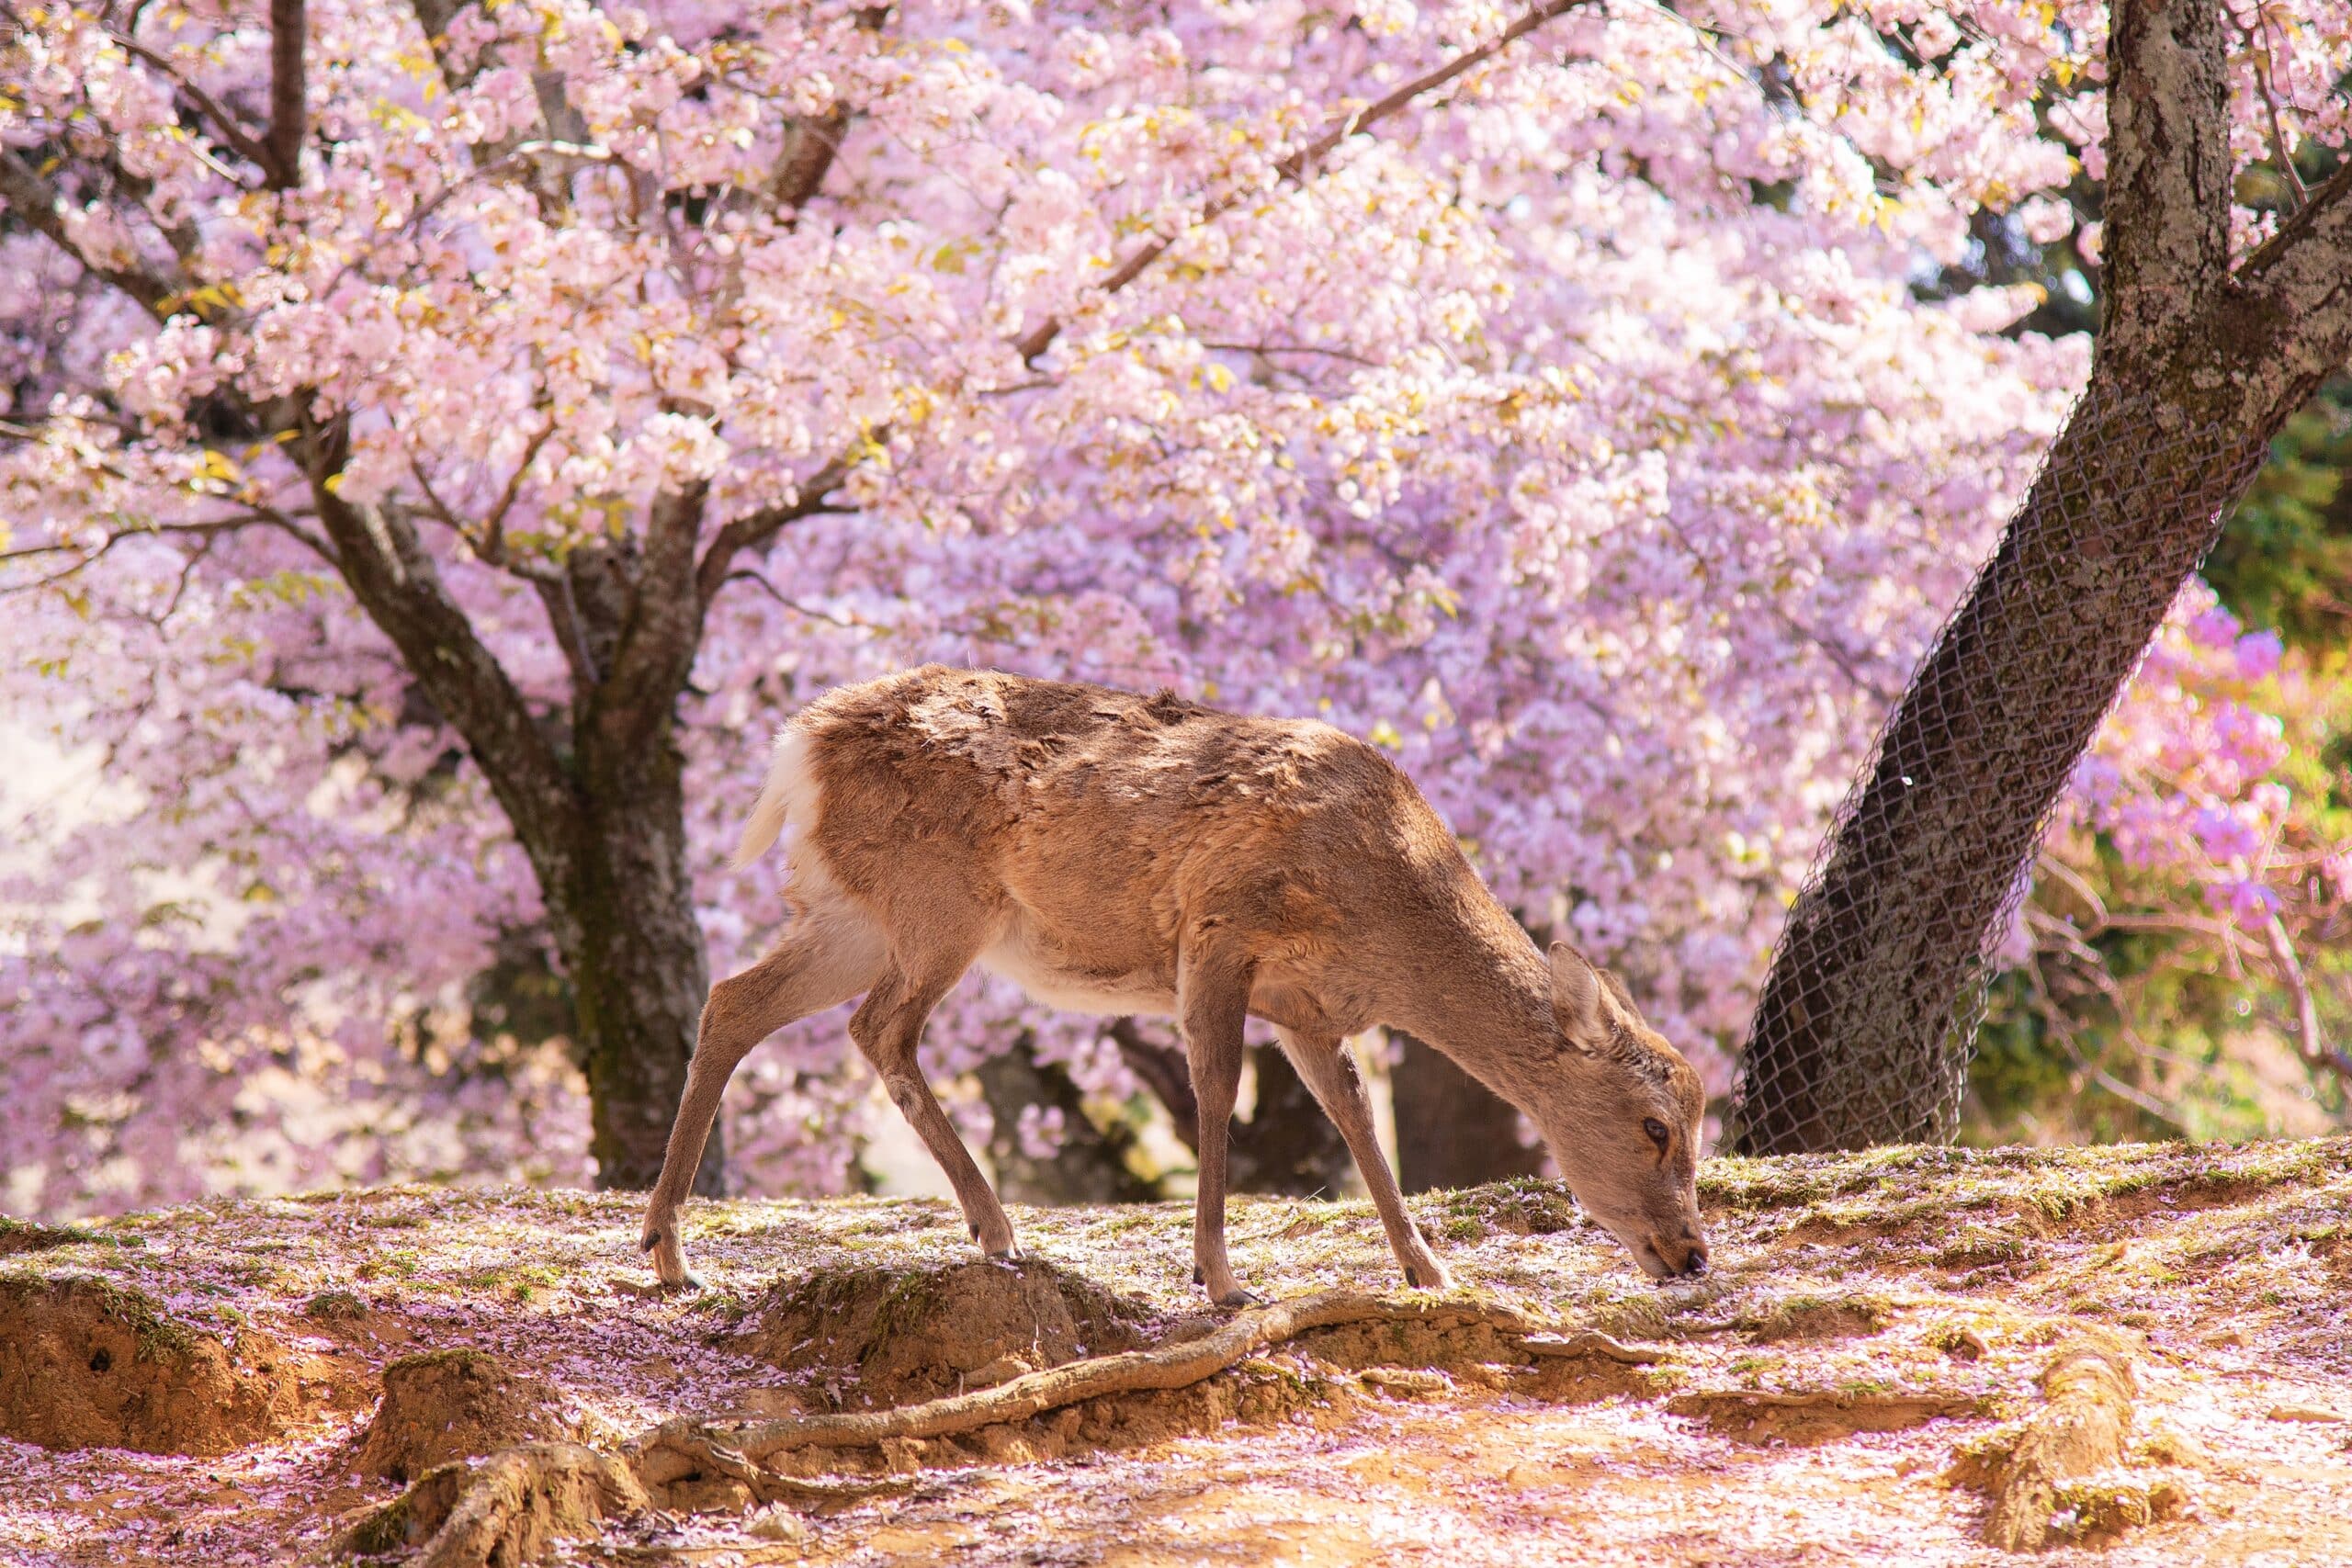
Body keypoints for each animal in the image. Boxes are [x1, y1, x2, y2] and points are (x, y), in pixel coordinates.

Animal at [640, 666, 1710, 1304]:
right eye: (1655, 1126)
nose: (1693, 1252)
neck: (1390, 920)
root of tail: (797, 744)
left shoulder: (1310, 1009)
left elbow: (1353, 1112)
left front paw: (1425, 1266)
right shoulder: (1219, 930)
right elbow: (1216, 1092)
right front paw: (1221, 1278)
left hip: (854, 913)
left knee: (735, 998)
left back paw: (670, 1249)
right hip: (935, 903)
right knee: (880, 1030)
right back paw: (995, 1230)